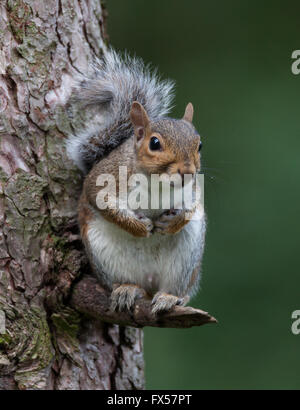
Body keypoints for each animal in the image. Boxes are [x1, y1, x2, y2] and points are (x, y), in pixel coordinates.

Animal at [66, 51, 206, 314]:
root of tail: (149, 282)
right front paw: (139, 227)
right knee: (127, 283)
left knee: (176, 289)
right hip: (104, 255)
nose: (188, 171)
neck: (158, 182)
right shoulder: (103, 180)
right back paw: (127, 289)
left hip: (186, 259)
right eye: (154, 143)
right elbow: (103, 203)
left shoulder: (192, 190)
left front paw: (172, 223)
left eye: (199, 145)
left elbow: (193, 207)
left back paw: (170, 297)